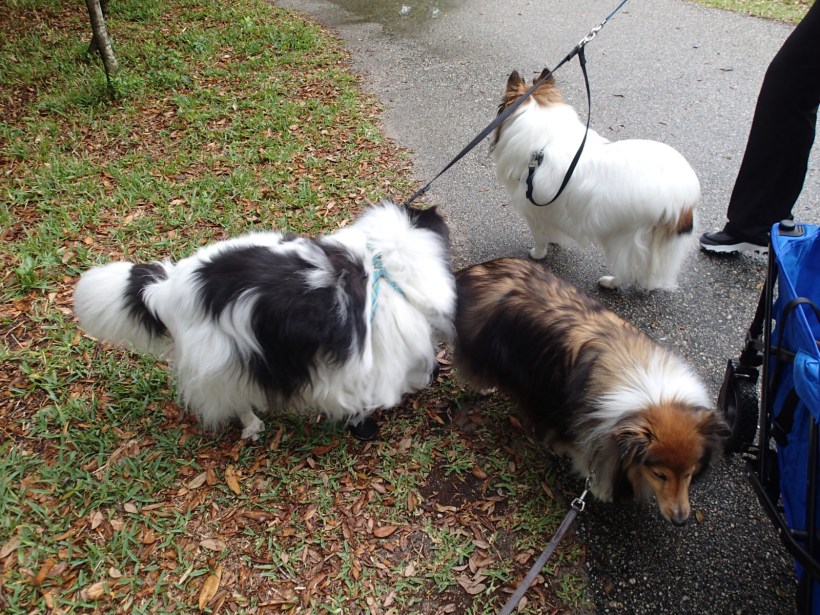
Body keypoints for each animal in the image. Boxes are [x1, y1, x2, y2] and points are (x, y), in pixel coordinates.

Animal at [73, 202, 456, 440]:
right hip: (226, 360)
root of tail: (167, 290)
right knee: (238, 399)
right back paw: (253, 426)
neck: (384, 260)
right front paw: (366, 423)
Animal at [453, 258, 729, 525]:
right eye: (659, 474)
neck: (652, 397)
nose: (680, 520)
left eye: (690, 473)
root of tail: (473, 271)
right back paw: (485, 387)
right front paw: (596, 485)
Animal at [492, 70, 701, 291]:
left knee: (628, 270)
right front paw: (555, 240)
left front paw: (537, 254)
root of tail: (685, 200)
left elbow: (540, 238)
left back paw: (610, 282)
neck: (543, 143)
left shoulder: (533, 211)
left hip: (625, 239)